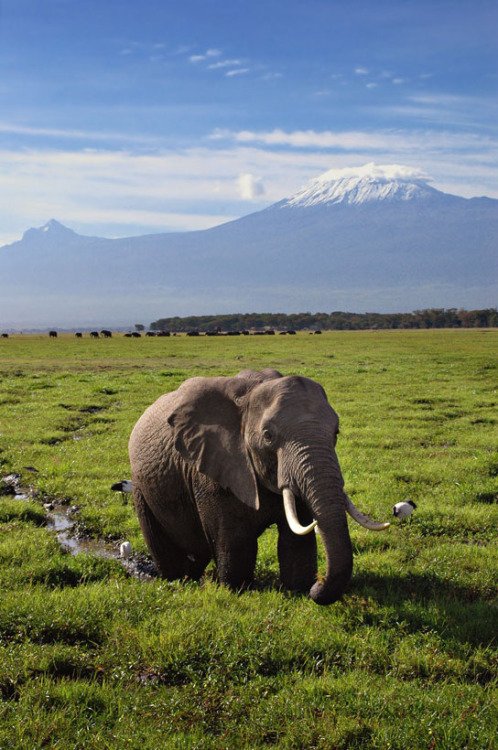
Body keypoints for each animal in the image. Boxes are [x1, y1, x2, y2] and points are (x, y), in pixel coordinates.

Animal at [129, 370, 390, 604]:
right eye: (268, 436)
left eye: (336, 432)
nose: (319, 584)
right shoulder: (215, 467)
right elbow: (236, 540)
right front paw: (237, 591)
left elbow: (295, 541)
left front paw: (299, 590)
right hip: (141, 486)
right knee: (164, 548)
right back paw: (178, 580)